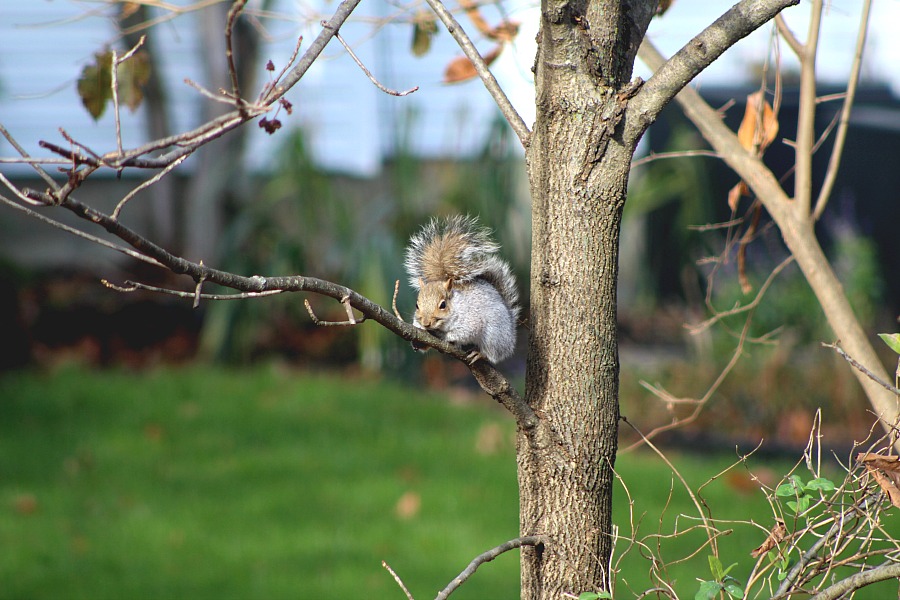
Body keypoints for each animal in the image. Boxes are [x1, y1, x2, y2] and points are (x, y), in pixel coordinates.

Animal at [402, 216, 520, 366]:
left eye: (443, 305)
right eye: (417, 306)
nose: (426, 323)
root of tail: (511, 333)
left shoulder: (471, 320)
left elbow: (463, 332)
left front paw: (444, 336)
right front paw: (418, 342)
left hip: (495, 334)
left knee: (493, 353)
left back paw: (480, 354)